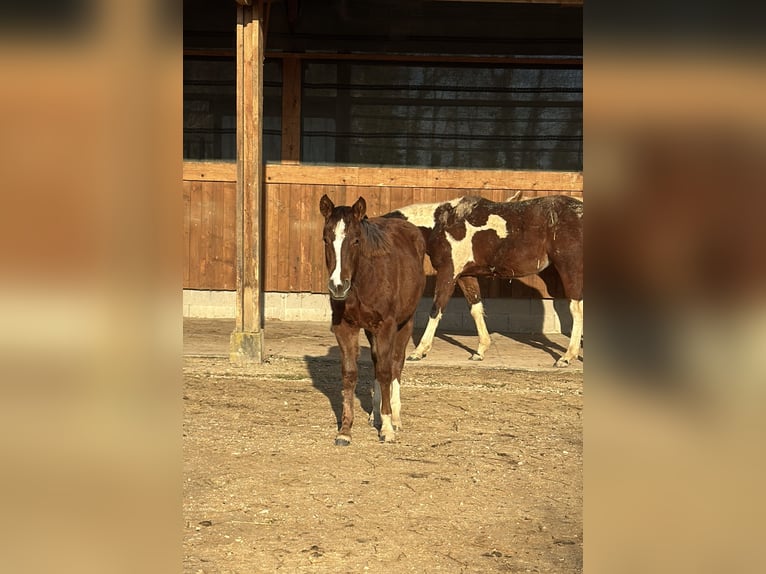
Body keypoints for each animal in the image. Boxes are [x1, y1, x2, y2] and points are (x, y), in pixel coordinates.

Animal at [319, 194, 426, 445]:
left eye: (356, 240)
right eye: (326, 239)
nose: (338, 286)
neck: (364, 279)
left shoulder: (386, 326)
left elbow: (387, 371)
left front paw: (387, 428)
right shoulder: (345, 326)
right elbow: (350, 374)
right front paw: (345, 430)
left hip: (405, 323)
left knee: (395, 364)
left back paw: (394, 417)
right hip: (370, 330)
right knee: (378, 361)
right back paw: (375, 415)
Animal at [385, 194, 583, 367]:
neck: (441, 225)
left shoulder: (448, 273)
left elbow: (436, 309)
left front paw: (419, 351)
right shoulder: (466, 276)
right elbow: (476, 309)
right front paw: (480, 351)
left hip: (570, 268)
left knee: (576, 310)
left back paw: (567, 357)